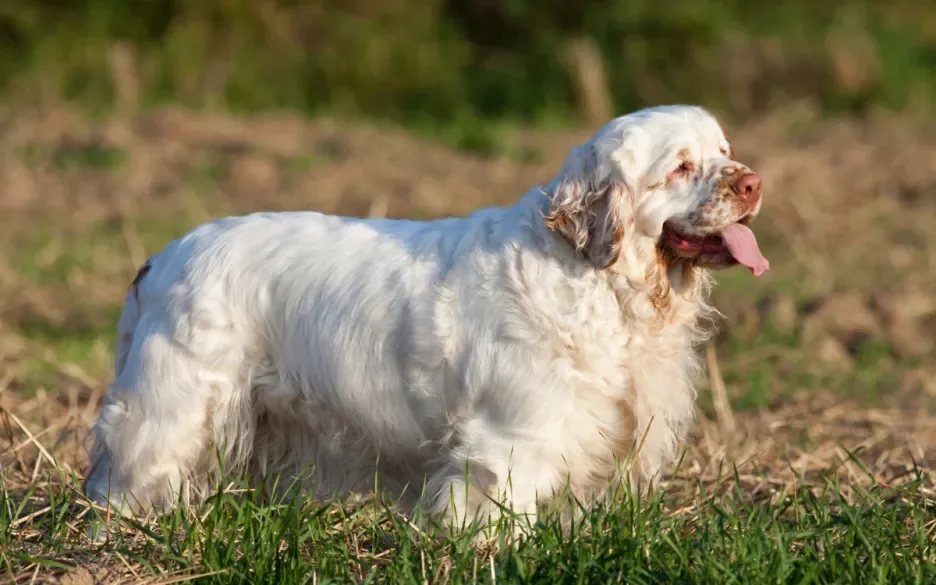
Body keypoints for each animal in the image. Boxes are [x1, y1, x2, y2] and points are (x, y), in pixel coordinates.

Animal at [82, 106, 768, 540]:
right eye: (681, 167)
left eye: (726, 154)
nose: (754, 183)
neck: (601, 286)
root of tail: (163, 257)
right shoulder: (508, 443)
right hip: (172, 412)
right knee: (122, 480)